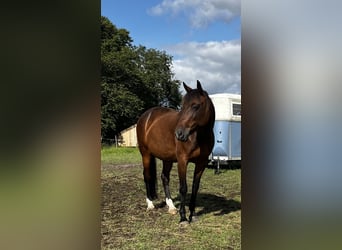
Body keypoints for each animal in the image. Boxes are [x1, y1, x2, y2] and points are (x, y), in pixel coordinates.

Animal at [136, 79, 214, 223]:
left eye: (195, 106)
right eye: (182, 107)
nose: (179, 134)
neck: (198, 136)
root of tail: (145, 117)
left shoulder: (201, 163)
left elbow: (195, 188)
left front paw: (193, 214)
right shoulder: (182, 160)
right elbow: (183, 188)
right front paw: (183, 218)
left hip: (167, 158)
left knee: (164, 177)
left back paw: (171, 206)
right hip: (146, 154)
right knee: (147, 175)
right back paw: (150, 204)